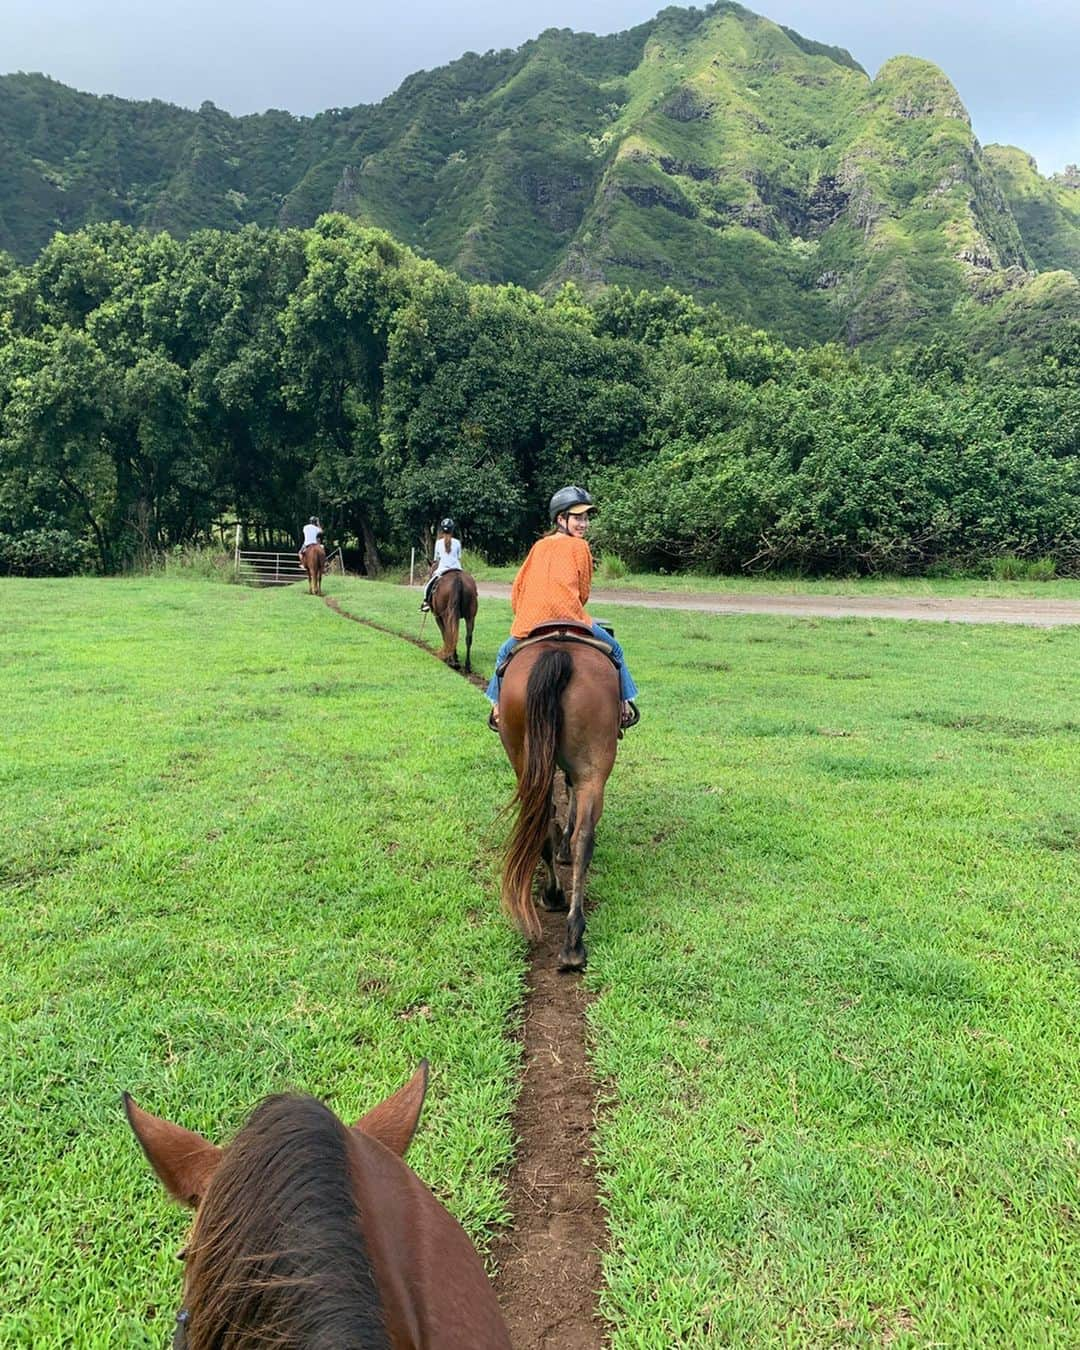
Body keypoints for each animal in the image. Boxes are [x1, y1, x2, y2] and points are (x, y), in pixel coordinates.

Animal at [496, 631, 615, 972]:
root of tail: (558, 653)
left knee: (547, 821)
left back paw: (555, 899)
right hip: (589, 768)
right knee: (581, 836)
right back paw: (573, 939)